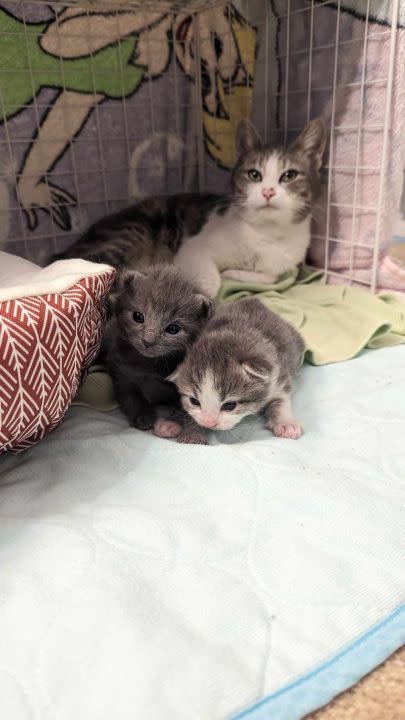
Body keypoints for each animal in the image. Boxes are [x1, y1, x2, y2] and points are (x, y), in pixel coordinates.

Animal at [53, 118, 326, 298]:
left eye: (289, 175)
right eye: (254, 175)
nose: (268, 191)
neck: (266, 235)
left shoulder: (282, 266)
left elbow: (270, 277)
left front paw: (232, 273)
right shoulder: (194, 249)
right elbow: (212, 282)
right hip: (131, 234)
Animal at [102, 264, 211, 438]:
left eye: (173, 329)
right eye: (137, 316)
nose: (148, 341)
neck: (149, 365)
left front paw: (193, 435)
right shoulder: (121, 375)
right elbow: (130, 397)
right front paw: (143, 416)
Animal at [166, 298, 304, 438]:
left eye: (230, 405)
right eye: (194, 401)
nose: (209, 423)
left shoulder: (279, 374)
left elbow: (281, 399)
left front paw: (285, 423)